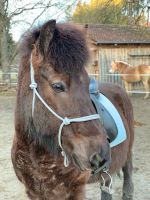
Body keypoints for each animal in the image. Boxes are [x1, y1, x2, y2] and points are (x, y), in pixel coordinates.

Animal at [11, 20, 134, 200]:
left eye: (87, 83)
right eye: (57, 86)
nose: (100, 154)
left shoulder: (75, 190)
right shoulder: (33, 191)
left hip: (128, 153)